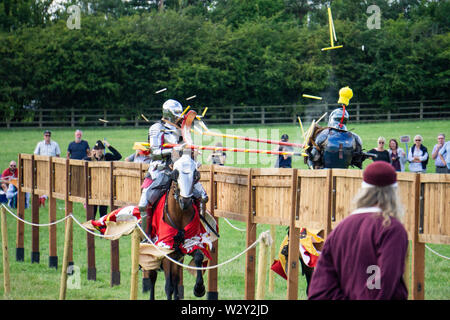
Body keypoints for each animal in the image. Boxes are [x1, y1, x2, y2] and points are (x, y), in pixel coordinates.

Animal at [146, 154, 206, 302]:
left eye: (195, 175)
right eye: (176, 174)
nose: (185, 202)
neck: (179, 214)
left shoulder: (190, 243)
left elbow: (198, 257)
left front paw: (199, 288)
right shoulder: (166, 251)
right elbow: (168, 286)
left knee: (175, 280)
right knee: (153, 278)